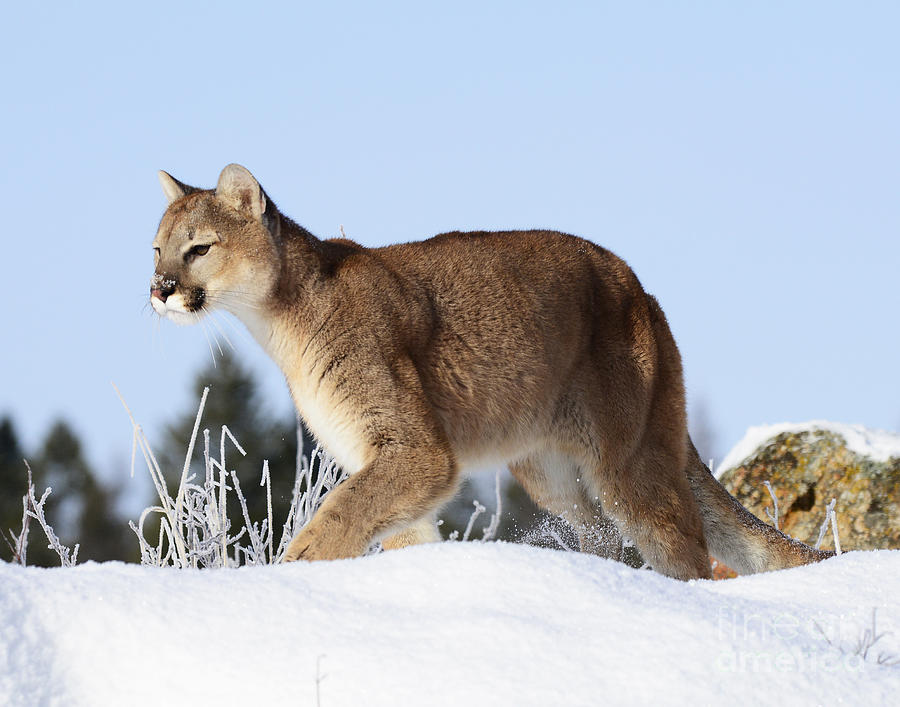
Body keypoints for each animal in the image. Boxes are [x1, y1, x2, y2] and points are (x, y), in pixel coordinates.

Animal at [148, 166, 828, 580]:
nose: (160, 289)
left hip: (628, 461)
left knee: (684, 546)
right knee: (602, 535)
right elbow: (394, 530)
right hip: (551, 472)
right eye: (157, 248)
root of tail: (641, 289)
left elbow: (338, 517)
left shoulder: (416, 450)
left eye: (199, 248)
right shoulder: (384, 460)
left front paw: (288, 574)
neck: (280, 320)